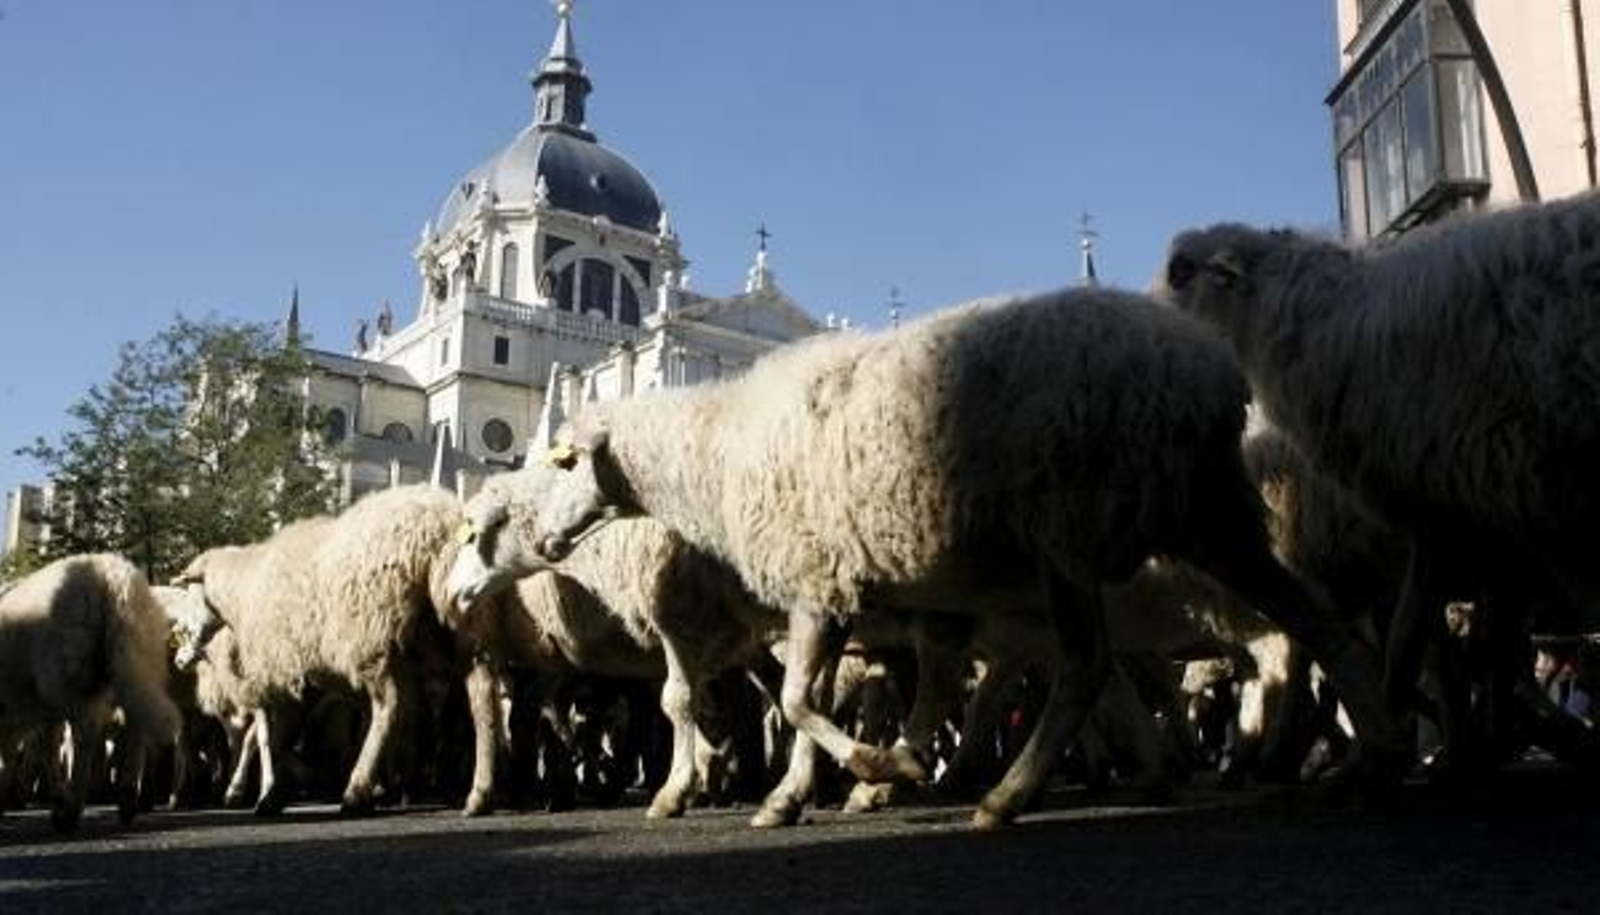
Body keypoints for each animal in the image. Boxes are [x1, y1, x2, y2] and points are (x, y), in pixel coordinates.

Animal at [0, 554, 181, 831]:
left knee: (84, 735)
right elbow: (36, 749)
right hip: (135, 660)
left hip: (67, 676)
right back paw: (127, 800)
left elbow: (37, 751)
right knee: (135, 727)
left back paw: (71, 811)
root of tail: (114, 577)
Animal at [453, 286, 1406, 828]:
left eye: (562, 464)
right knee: (1314, 624)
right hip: (1207, 518)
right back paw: (1370, 756)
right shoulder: (845, 599)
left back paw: (1009, 794)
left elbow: (793, 702)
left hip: (1074, 533)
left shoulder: (811, 586)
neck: (717, 447)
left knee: (1093, 665)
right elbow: (801, 702)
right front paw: (802, 790)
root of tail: (1205, 364)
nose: (547, 544)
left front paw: (879, 770)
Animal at [1160, 197, 1600, 770]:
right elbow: (1442, 647)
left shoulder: (1483, 506)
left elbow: (1407, 649)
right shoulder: (1463, 517)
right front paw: (1467, 744)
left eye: (1179, 271)